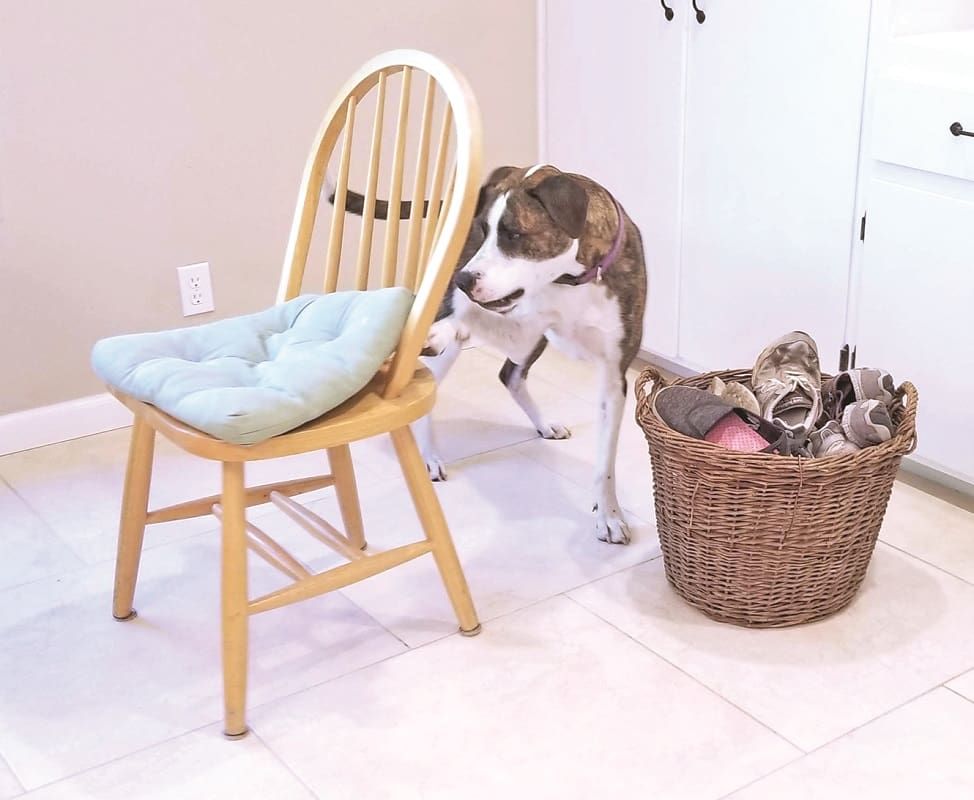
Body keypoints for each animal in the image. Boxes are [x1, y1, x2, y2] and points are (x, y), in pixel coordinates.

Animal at [336, 167, 648, 544]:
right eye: (483, 231)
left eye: (514, 234)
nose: (463, 279)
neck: (574, 279)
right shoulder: (514, 321)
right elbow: (466, 319)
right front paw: (443, 329)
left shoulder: (612, 376)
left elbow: (605, 464)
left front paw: (610, 516)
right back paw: (429, 455)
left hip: (531, 343)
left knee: (510, 376)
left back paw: (543, 424)